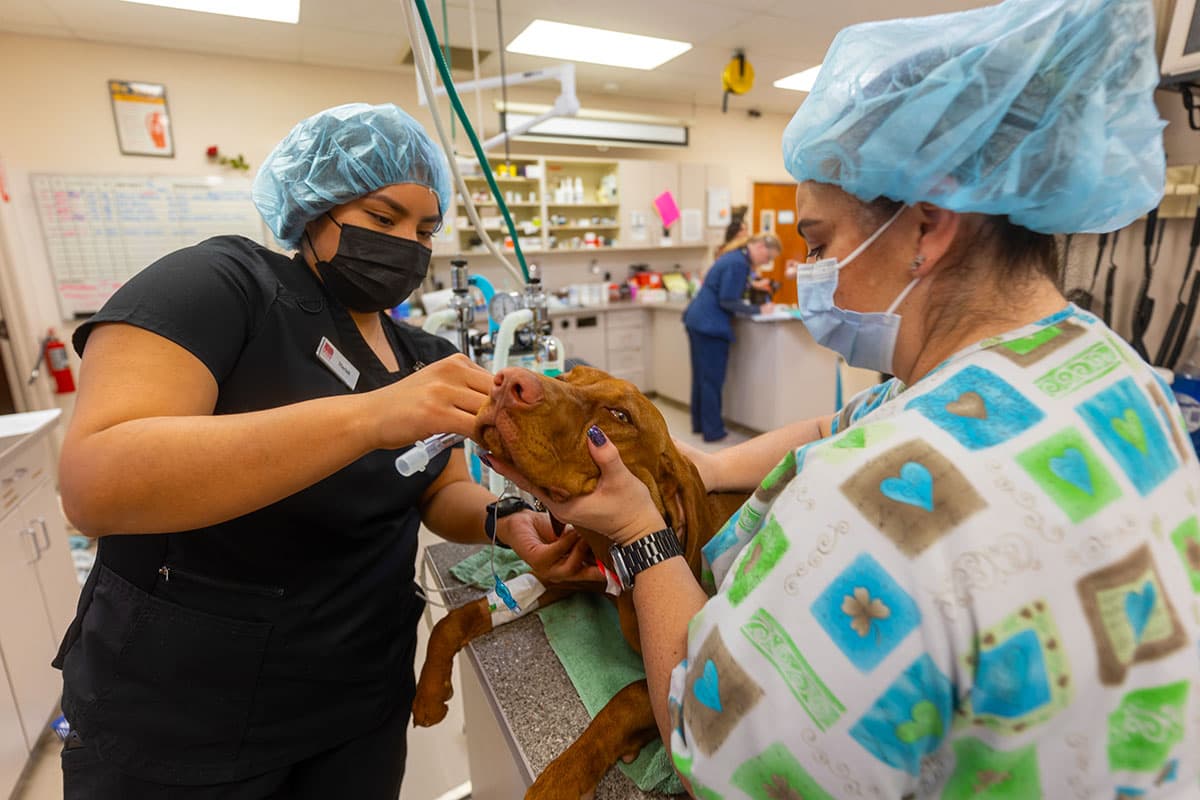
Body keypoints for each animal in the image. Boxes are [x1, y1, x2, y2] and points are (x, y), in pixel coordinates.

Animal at [417, 367, 744, 800]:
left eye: (621, 416)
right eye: (569, 375)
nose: (507, 382)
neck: (625, 552)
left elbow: (626, 698)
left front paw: (559, 779)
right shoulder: (573, 572)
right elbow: (460, 616)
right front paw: (429, 689)